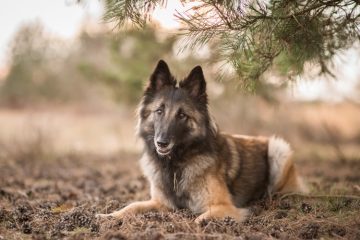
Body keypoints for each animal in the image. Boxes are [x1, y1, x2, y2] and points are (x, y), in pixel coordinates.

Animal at [98, 60, 306, 223]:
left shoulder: (224, 206)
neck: (176, 164)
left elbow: (199, 218)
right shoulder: (159, 203)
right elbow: (132, 206)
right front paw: (109, 216)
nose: (161, 143)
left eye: (182, 115)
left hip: (279, 149)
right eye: (159, 111)